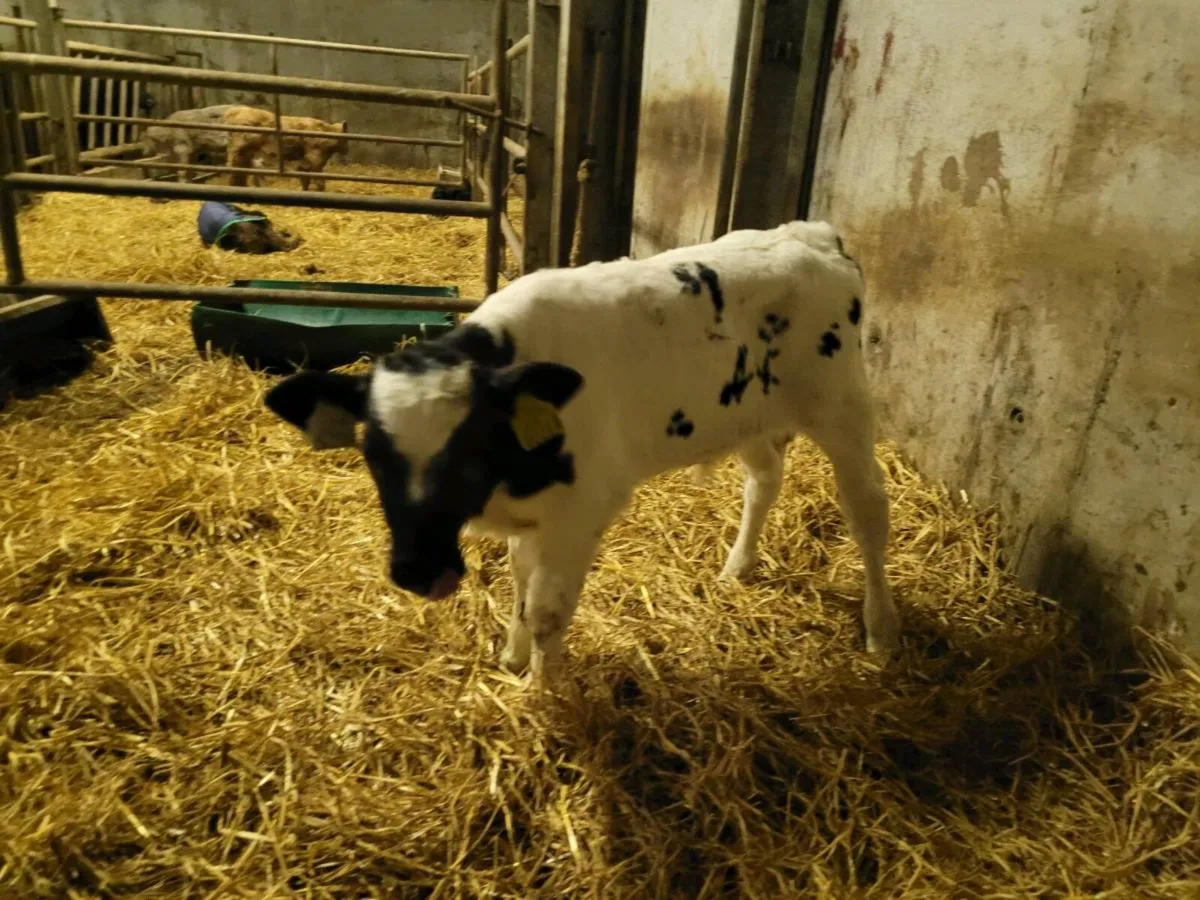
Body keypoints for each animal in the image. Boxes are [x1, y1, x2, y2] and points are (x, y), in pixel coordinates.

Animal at [262, 220, 901, 685]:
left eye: (471, 446)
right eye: (372, 452)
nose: (420, 571)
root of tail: (813, 234)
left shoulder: (579, 513)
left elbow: (547, 610)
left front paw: (542, 695)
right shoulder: (534, 515)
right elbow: (521, 584)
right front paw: (513, 658)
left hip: (843, 406)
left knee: (868, 508)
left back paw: (879, 631)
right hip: (748, 416)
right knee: (765, 480)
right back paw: (737, 568)